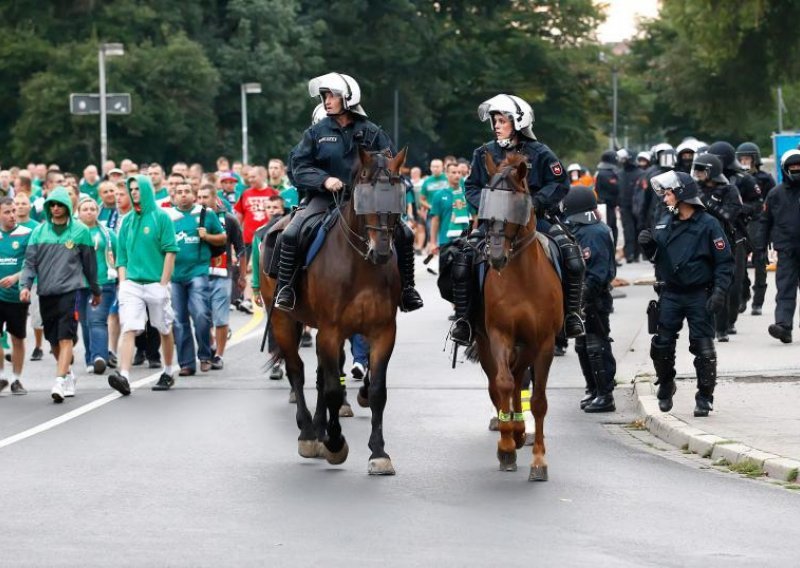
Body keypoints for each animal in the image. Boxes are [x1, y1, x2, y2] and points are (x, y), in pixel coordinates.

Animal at [262, 74, 416, 474]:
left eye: (398, 188)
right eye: (362, 185)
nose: (382, 249)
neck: (361, 264)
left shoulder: (382, 330)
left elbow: (376, 390)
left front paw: (378, 452)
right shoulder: (330, 331)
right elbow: (330, 387)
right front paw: (333, 442)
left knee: (317, 375)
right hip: (284, 320)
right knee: (298, 372)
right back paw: (308, 433)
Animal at [472, 152, 564, 480]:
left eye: (515, 202)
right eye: (488, 200)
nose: (496, 256)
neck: (521, 276)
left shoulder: (544, 342)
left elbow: (538, 401)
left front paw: (538, 460)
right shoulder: (499, 335)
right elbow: (503, 383)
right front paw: (506, 447)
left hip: (528, 346)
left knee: (519, 377)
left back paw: (520, 429)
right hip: (488, 342)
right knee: (501, 382)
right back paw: (510, 432)